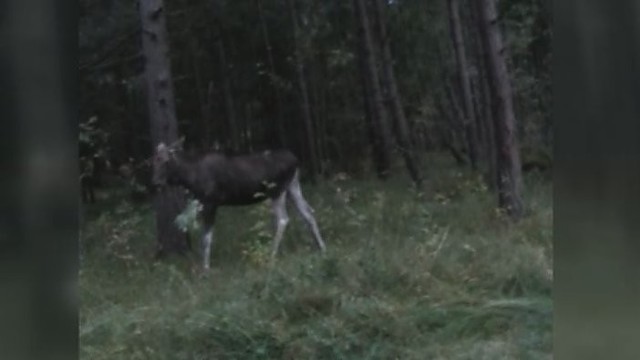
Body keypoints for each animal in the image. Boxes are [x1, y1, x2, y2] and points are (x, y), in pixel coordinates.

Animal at [152, 142, 328, 268]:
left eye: (166, 162)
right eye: (153, 161)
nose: (156, 182)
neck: (189, 178)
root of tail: (296, 160)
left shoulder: (211, 202)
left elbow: (206, 238)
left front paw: (205, 269)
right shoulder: (201, 203)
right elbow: (203, 236)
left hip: (277, 191)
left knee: (283, 219)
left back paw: (271, 255)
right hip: (292, 186)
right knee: (308, 212)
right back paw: (321, 247)